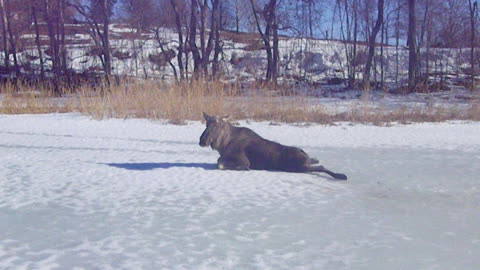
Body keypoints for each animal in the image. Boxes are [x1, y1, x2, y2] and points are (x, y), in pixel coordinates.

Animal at [200, 113, 348, 180]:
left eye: (216, 125)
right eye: (206, 124)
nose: (202, 140)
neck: (223, 145)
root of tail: (303, 154)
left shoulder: (244, 160)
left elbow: (220, 164)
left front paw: (244, 168)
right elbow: (218, 162)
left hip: (298, 167)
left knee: (321, 167)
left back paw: (340, 175)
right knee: (315, 161)